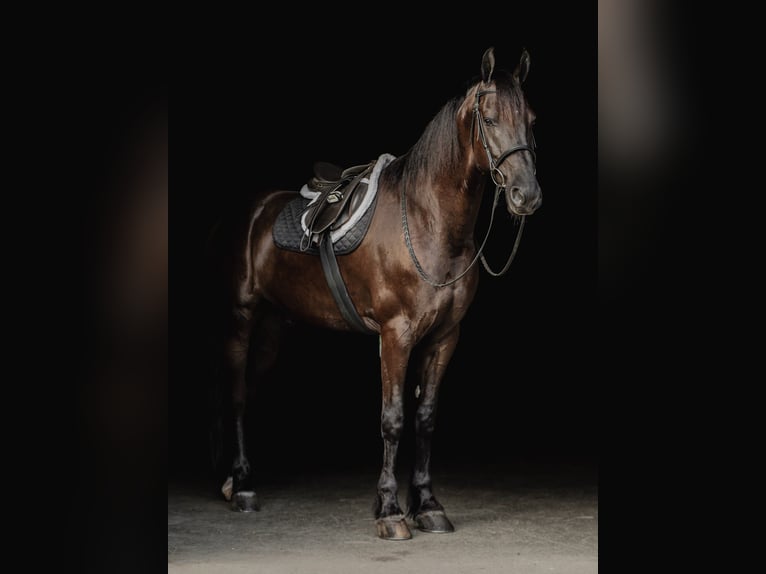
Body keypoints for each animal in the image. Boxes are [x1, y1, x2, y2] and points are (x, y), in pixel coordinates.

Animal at [218, 47, 542, 540]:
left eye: (531, 120)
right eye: (489, 119)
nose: (527, 195)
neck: (429, 221)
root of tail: (256, 209)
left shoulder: (444, 337)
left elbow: (425, 418)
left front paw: (427, 504)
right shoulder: (396, 335)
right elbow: (393, 420)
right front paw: (389, 511)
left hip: (275, 326)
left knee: (251, 388)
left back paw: (235, 481)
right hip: (243, 316)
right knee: (237, 393)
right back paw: (244, 487)